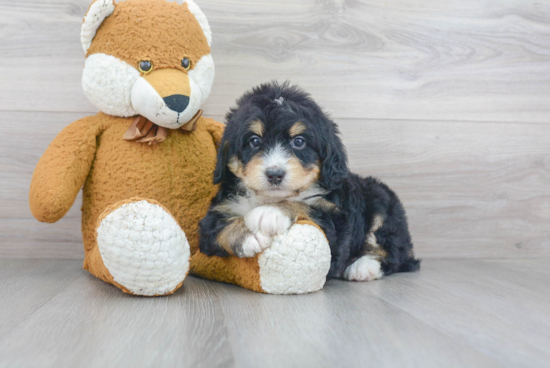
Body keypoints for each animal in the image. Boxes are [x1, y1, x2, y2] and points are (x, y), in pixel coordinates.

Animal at [201, 82, 420, 280]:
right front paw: (247, 234)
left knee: (394, 253)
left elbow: (306, 206)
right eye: (254, 141)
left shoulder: (337, 224)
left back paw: (363, 266)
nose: (274, 174)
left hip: (381, 200)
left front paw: (271, 212)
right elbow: (217, 229)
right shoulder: (218, 213)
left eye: (298, 141)